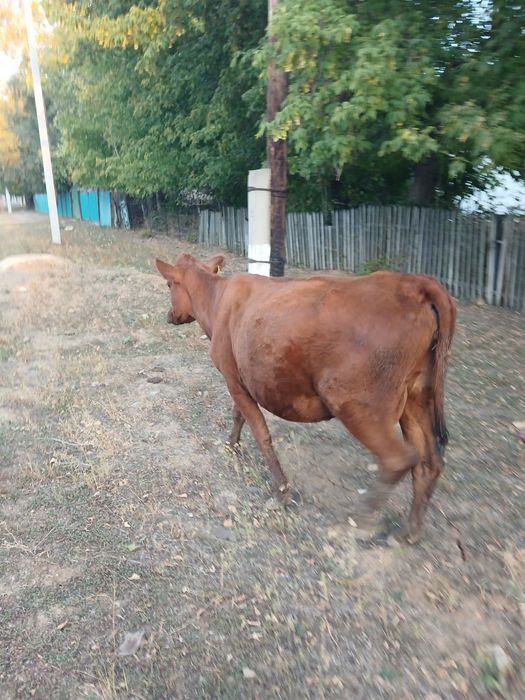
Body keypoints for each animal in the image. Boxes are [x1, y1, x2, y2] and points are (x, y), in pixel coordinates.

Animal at [156, 254, 456, 543]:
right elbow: (238, 415)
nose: (169, 315)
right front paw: (232, 445)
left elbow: (261, 433)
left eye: (169, 285)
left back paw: (358, 524)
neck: (217, 301)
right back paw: (410, 532)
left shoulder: (233, 379)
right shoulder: (240, 380)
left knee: (399, 459)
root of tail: (415, 283)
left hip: (359, 405)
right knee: (429, 463)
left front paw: (281, 492)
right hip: (416, 400)